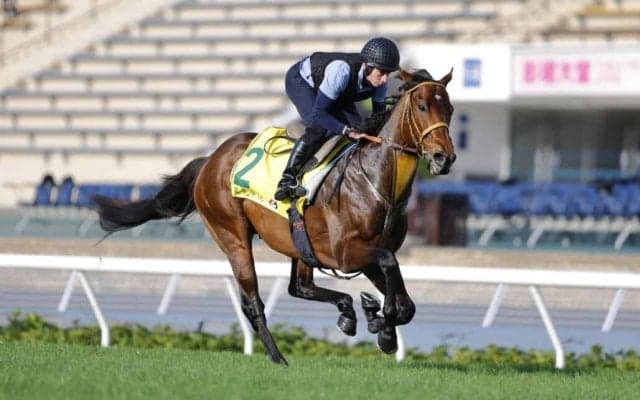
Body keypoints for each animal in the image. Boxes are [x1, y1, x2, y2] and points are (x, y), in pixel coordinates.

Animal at [94, 68, 456, 365]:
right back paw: (278, 357)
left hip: (298, 244)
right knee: (253, 302)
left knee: (299, 287)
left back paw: (347, 313)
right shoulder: (345, 253)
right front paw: (379, 318)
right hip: (233, 237)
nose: (444, 158)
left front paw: (380, 323)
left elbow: (404, 300)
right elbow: (390, 268)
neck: (377, 182)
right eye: (422, 106)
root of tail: (212, 158)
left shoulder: (366, 253)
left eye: (449, 109)